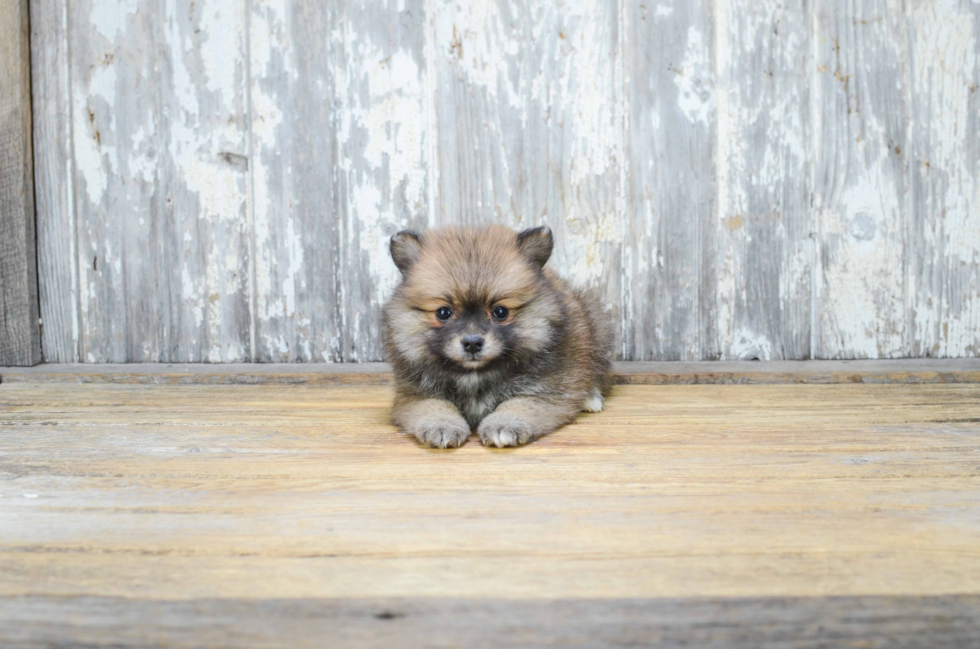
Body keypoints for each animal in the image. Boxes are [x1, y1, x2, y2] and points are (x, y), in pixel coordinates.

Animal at [378, 224, 608, 446]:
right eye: (443, 313)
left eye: (500, 312)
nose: (472, 343)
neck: (475, 375)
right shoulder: (414, 395)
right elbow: (435, 406)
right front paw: (442, 425)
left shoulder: (545, 391)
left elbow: (519, 404)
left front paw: (504, 424)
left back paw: (589, 398)